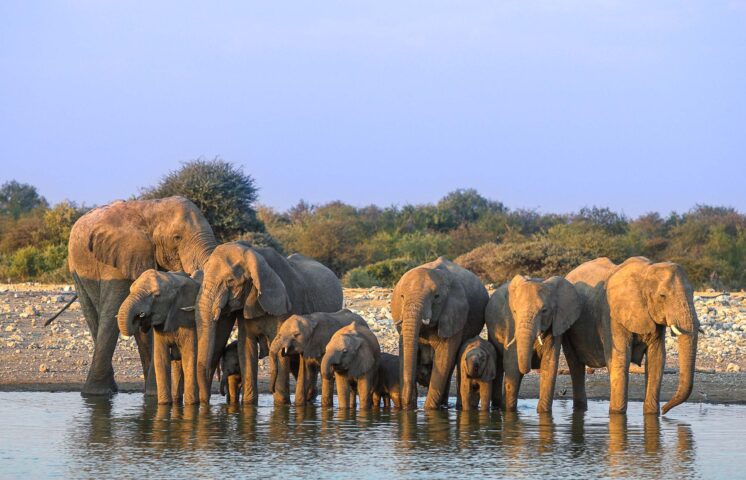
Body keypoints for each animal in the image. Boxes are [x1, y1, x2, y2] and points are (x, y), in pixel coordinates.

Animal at [117, 269, 201, 404]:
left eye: (156, 295)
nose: (139, 316)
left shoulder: (189, 322)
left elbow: (190, 357)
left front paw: (191, 405)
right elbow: (161, 359)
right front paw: (164, 404)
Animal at [195, 242, 343, 404]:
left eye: (230, 281)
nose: (206, 401)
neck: (255, 253)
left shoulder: (286, 304)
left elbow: (279, 349)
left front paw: (281, 404)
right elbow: (246, 346)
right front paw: (249, 403)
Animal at [392, 257, 488, 410]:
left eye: (436, 297)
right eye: (401, 296)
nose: (406, 407)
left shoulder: (454, 315)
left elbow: (444, 357)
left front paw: (429, 409)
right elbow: (406, 353)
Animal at [485, 275, 582, 413]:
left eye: (544, 311)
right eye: (514, 311)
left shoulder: (556, 326)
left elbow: (549, 365)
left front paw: (543, 413)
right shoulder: (511, 324)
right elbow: (512, 365)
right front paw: (509, 411)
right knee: (499, 363)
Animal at [563, 256, 700, 415]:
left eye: (692, 293)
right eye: (662, 296)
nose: (665, 410)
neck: (646, 271)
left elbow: (657, 359)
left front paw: (652, 414)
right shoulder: (612, 318)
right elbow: (621, 358)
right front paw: (617, 414)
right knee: (575, 365)